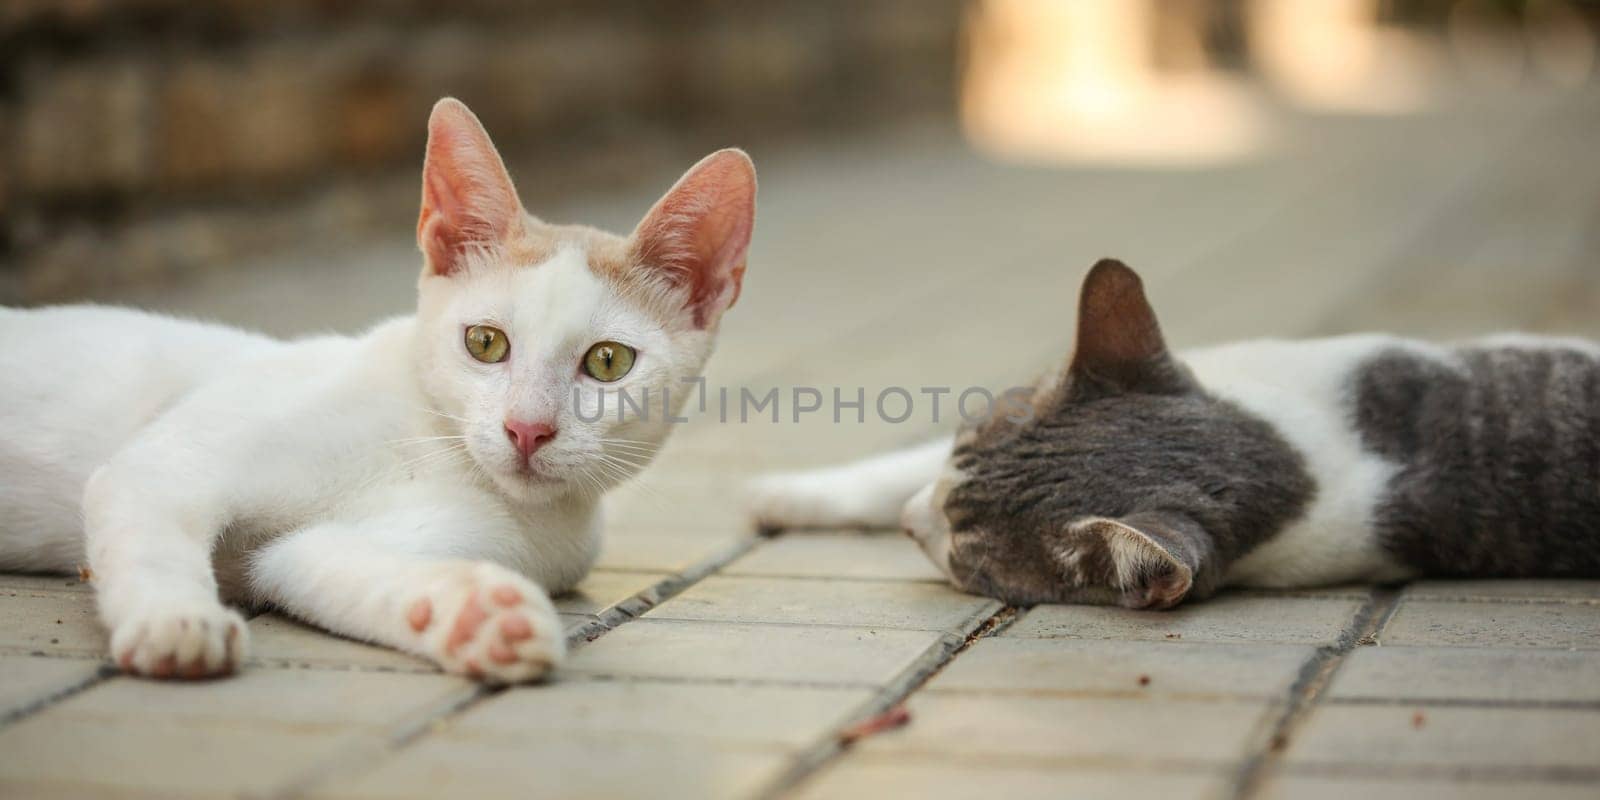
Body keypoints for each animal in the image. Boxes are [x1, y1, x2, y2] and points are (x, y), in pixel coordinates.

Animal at [0, 98, 758, 681]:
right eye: (485, 343)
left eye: (606, 363)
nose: (527, 430)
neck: (429, 444)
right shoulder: (168, 463)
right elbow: (153, 530)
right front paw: (176, 620)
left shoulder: (335, 550)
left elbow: (318, 562)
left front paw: (472, 617)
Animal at [748, 260, 1600, 604]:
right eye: (964, 443)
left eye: (966, 559)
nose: (903, 524)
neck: (1317, 451)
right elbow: (897, 463)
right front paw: (783, 494)